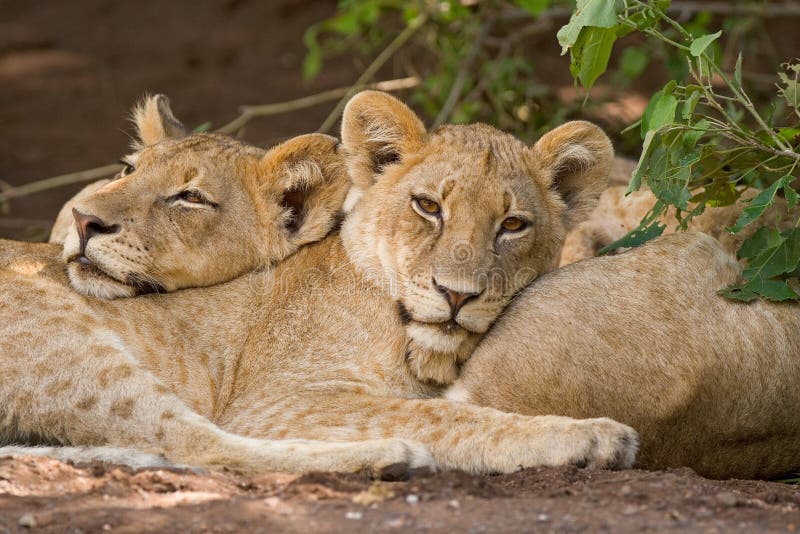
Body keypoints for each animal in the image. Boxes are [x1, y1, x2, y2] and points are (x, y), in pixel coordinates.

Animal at [0, 91, 638, 475]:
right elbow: (443, 415)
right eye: (428, 207)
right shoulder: (275, 401)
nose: (457, 295)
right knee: (194, 442)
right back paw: (393, 456)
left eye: (513, 225)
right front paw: (589, 434)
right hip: (74, 349)